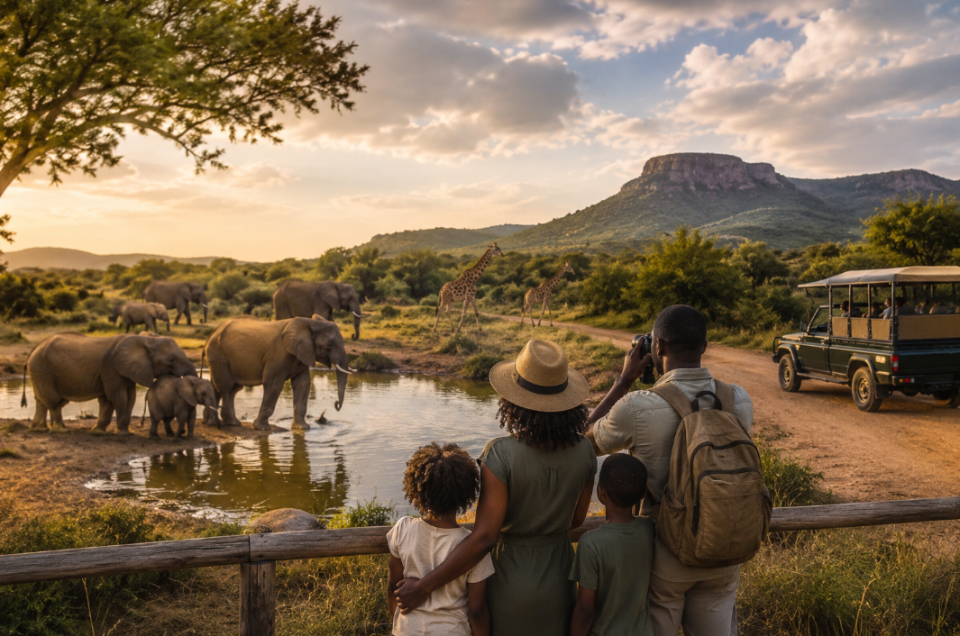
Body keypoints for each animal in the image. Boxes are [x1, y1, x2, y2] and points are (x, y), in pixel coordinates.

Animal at [24, 333, 197, 433]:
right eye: (171, 360)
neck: (147, 339)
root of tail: (33, 350)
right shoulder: (112, 368)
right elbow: (118, 397)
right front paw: (122, 432)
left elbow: (127, 398)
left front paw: (99, 431)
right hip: (43, 370)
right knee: (53, 401)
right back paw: (60, 430)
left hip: (40, 371)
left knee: (41, 400)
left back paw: (39, 429)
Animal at [204, 316, 354, 431]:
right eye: (330, 345)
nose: (336, 404)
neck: (310, 322)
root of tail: (213, 333)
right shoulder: (278, 354)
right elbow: (274, 384)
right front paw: (262, 428)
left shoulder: (302, 354)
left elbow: (303, 384)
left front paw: (302, 428)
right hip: (219, 357)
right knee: (227, 389)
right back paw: (232, 423)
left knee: (219, 387)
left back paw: (210, 422)